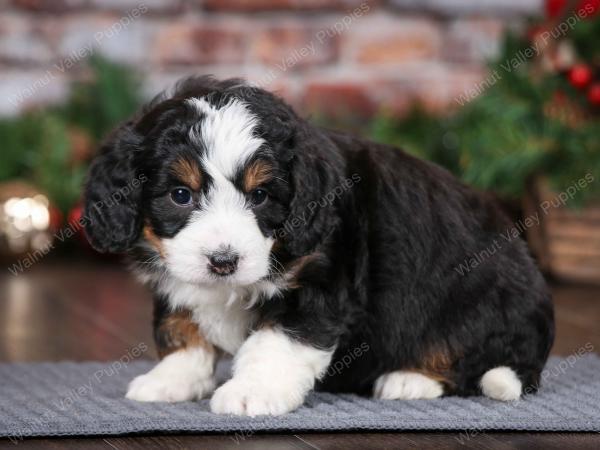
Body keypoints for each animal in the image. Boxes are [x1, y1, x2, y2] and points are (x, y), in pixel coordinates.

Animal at [83, 75, 552, 416]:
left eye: (260, 196)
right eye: (181, 195)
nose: (223, 261)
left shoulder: (317, 282)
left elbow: (277, 341)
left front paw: (252, 392)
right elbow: (181, 327)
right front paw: (171, 378)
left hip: (479, 302)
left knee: (473, 361)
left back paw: (410, 379)